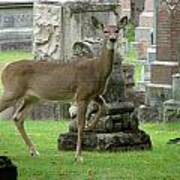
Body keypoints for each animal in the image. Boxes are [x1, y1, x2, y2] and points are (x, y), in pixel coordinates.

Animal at [0, 15, 127, 162]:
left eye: (117, 30)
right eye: (105, 31)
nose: (112, 39)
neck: (97, 70)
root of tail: (4, 71)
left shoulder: (94, 94)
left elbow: (105, 106)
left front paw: (90, 126)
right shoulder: (82, 95)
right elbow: (80, 124)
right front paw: (78, 156)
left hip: (32, 97)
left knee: (17, 118)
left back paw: (34, 151)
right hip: (12, 91)